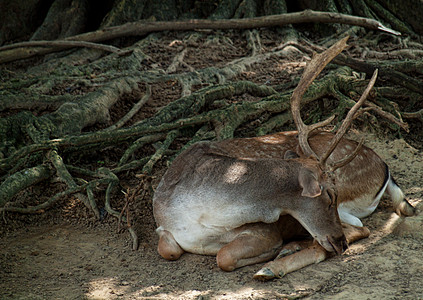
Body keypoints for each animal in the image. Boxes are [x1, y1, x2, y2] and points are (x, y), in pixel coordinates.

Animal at [152, 36, 414, 280]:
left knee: (358, 230)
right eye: (329, 196)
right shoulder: (162, 226)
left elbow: (223, 255)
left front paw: (268, 255)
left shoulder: (265, 230)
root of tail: (385, 167)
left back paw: (273, 266)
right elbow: (168, 250)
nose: (340, 243)